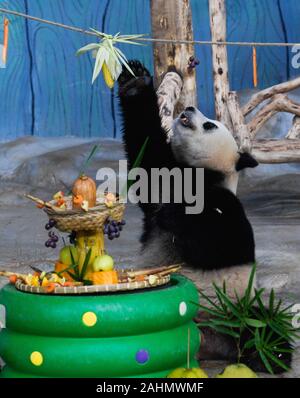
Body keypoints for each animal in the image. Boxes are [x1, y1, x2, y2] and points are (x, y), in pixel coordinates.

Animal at [118, 59, 292, 374]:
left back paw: (267, 355)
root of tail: (207, 343)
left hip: (236, 309)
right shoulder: (164, 178)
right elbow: (145, 148)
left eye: (210, 124)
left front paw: (176, 216)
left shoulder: (226, 205)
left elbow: (219, 245)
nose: (187, 109)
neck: (199, 175)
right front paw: (135, 80)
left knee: (266, 326)